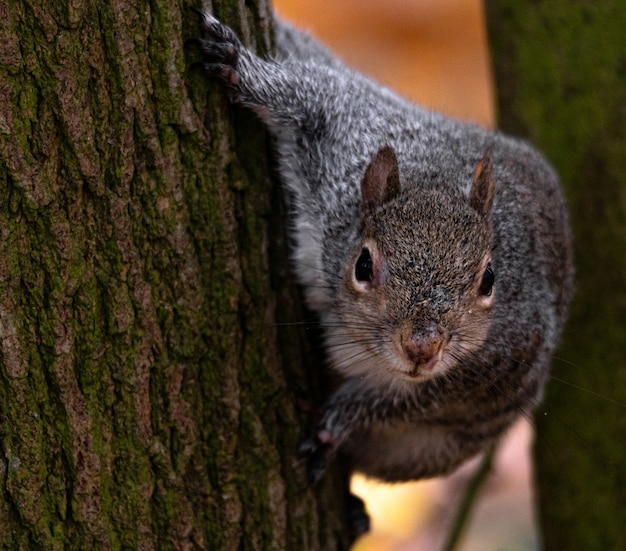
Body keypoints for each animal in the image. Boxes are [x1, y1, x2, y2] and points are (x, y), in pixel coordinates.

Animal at [189, 10, 572, 488]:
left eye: (488, 281)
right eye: (364, 266)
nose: (422, 347)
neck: (435, 181)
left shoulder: (492, 367)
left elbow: (395, 403)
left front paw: (336, 423)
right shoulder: (347, 131)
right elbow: (307, 94)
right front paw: (239, 67)